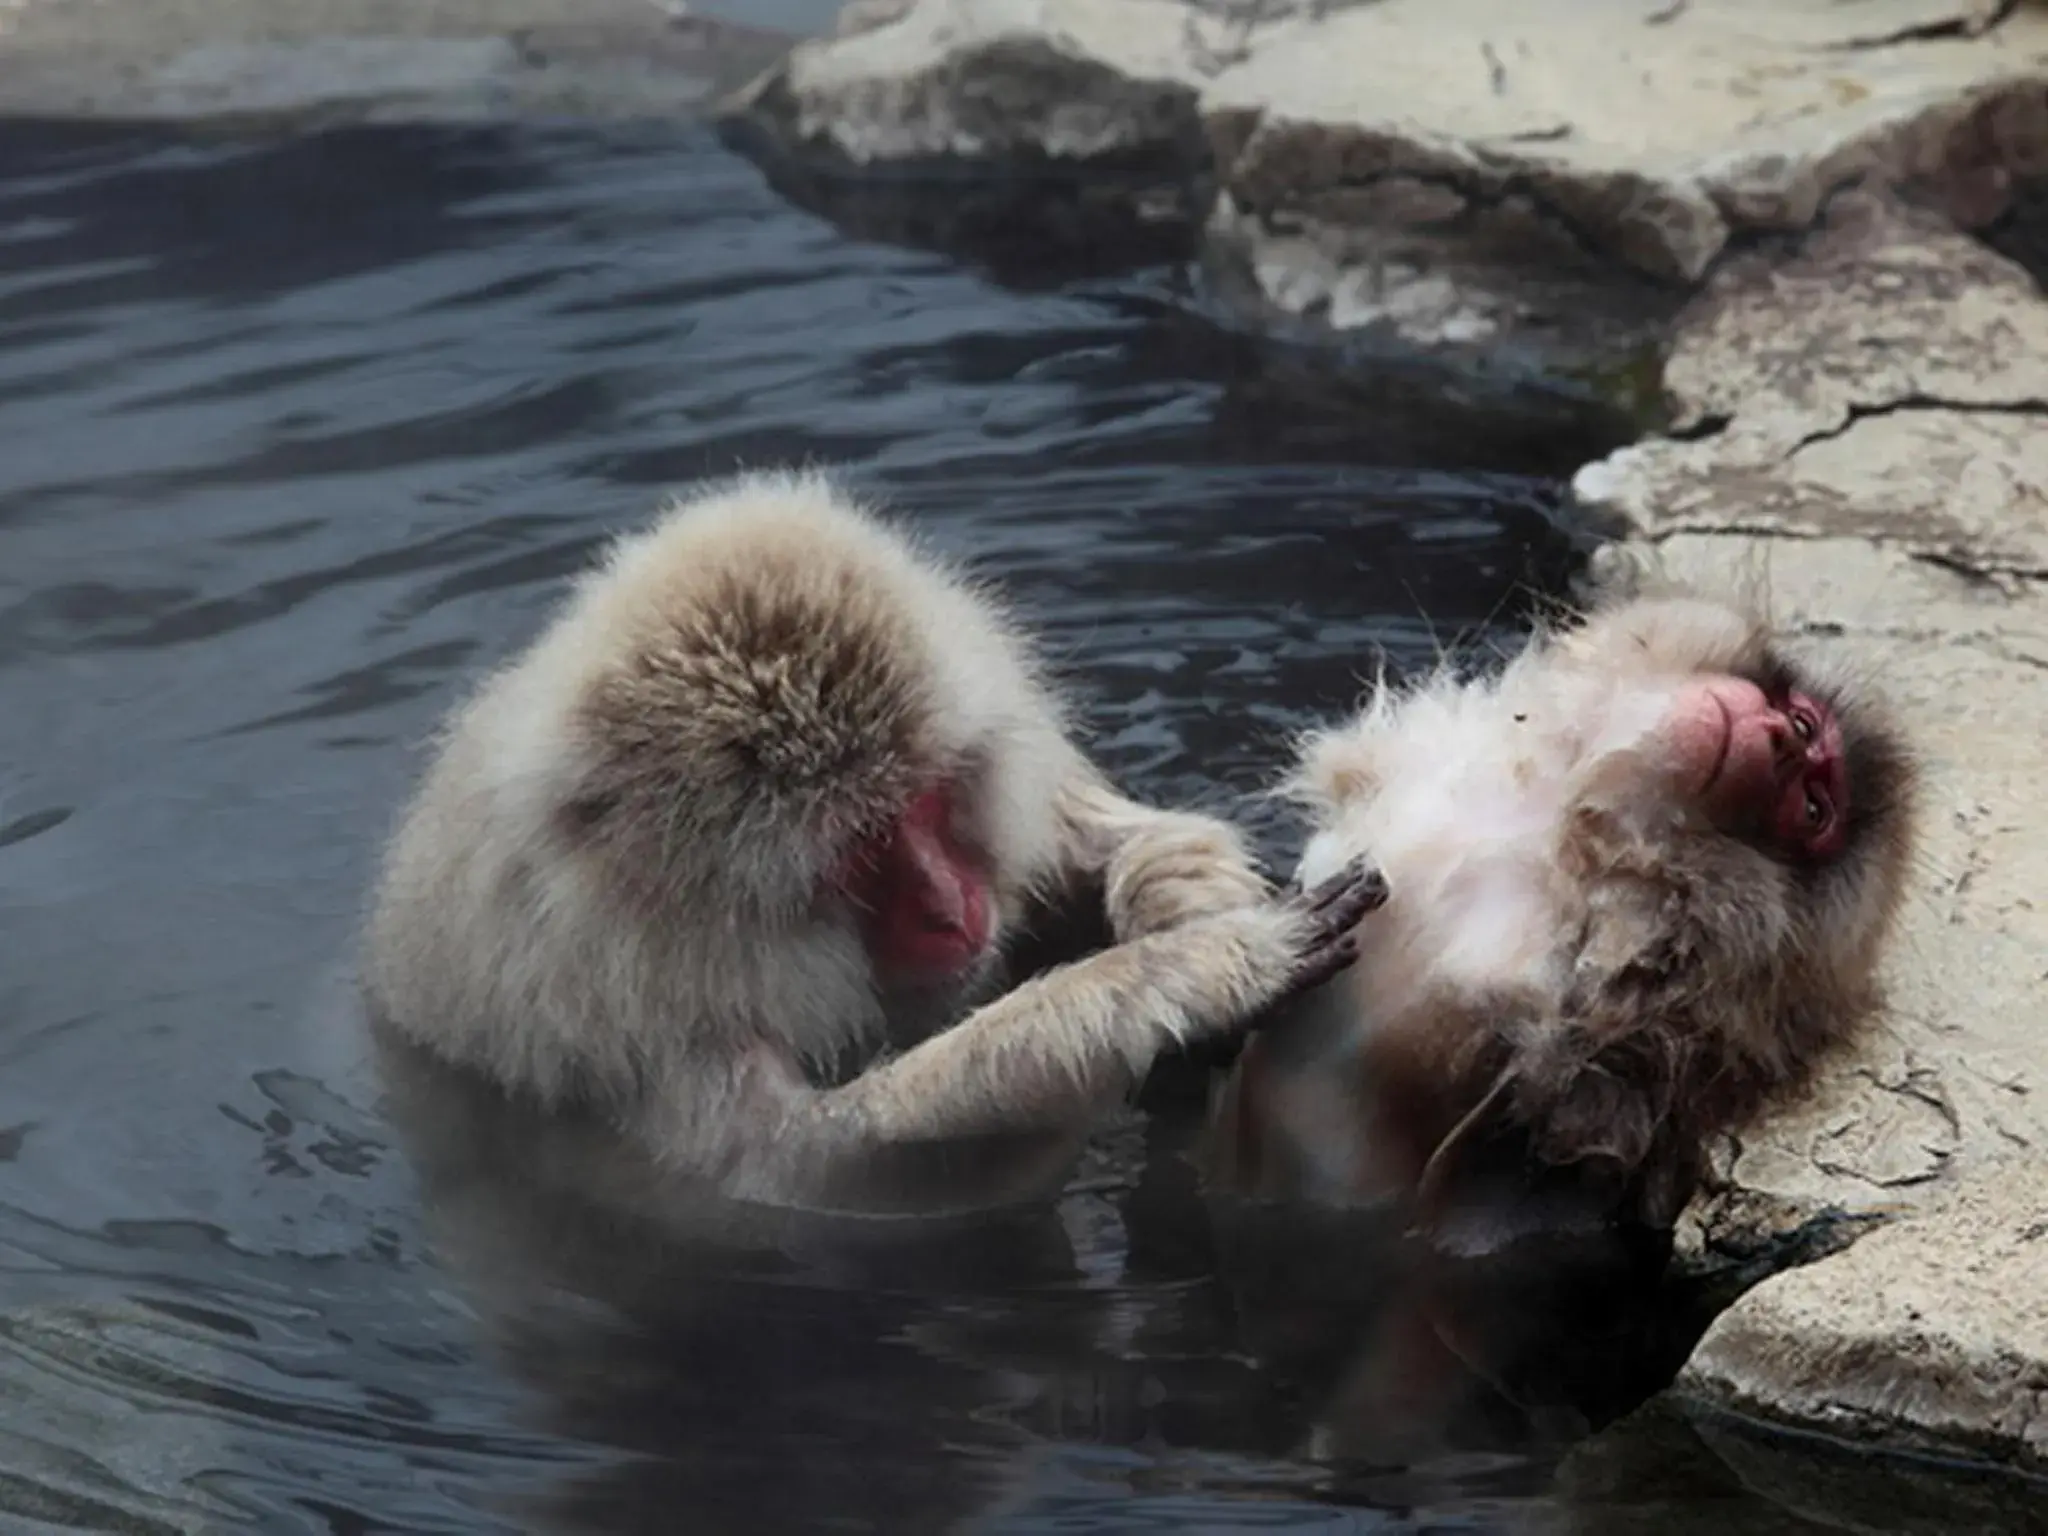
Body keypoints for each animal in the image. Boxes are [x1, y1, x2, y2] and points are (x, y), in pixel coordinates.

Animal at [364, 475, 1392, 1220]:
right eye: (858, 849)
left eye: (926, 802)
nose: (949, 907)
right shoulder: (624, 1016)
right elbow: (811, 1175)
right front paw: (1185, 977)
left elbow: (1100, 834)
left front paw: (1189, 905)